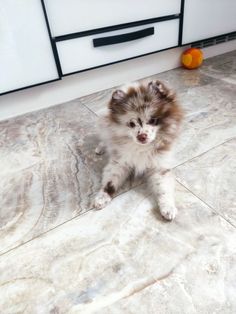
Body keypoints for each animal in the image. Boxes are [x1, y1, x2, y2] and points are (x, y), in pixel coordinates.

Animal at [94, 79, 183, 220]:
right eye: (131, 124)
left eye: (153, 120)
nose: (142, 136)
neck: (142, 148)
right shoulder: (119, 162)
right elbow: (110, 182)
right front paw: (102, 197)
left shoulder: (160, 166)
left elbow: (163, 188)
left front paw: (168, 207)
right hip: (103, 124)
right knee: (105, 137)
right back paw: (101, 147)